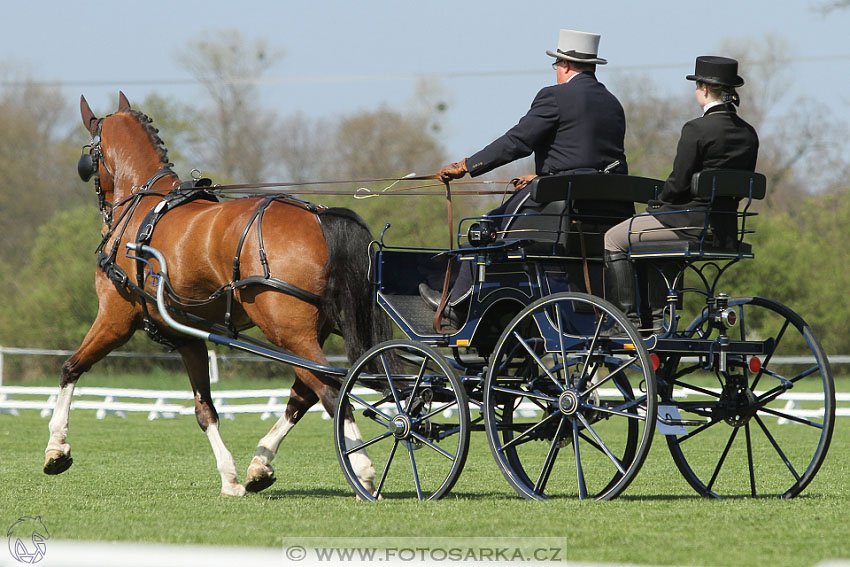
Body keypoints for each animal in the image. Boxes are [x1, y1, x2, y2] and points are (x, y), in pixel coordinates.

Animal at [43, 93, 388, 496]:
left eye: (90, 152)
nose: (102, 202)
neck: (141, 209)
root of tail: (319, 215)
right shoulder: (186, 337)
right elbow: (204, 410)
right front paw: (230, 477)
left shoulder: (116, 318)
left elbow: (71, 367)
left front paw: (56, 448)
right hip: (310, 330)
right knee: (305, 393)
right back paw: (261, 464)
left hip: (287, 331)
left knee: (331, 389)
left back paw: (361, 468)